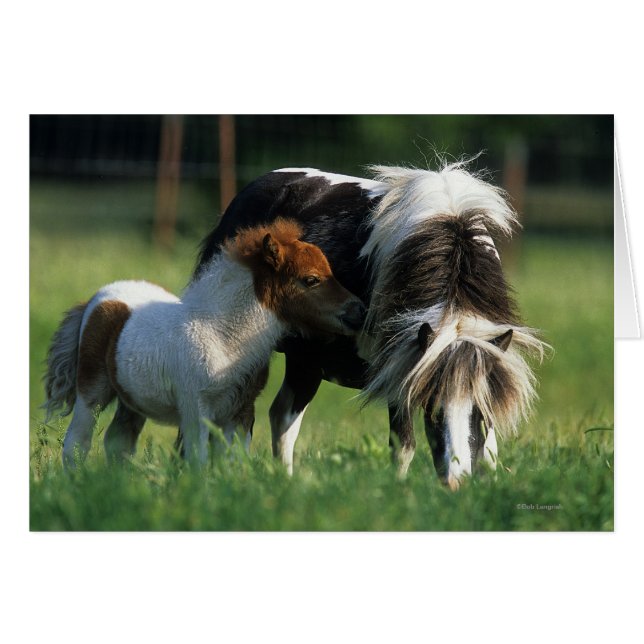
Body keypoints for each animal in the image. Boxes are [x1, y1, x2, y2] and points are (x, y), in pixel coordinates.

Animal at [44, 218, 366, 468]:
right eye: (311, 279)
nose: (359, 311)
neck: (223, 337)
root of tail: (96, 299)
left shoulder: (240, 412)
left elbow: (231, 461)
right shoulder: (196, 412)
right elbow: (197, 461)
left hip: (132, 398)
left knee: (118, 442)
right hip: (92, 390)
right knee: (77, 443)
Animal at [195, 162, 545, 488]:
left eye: (478, 412)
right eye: (432, 408)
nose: (454, 482)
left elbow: (489, 451)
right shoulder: (399, 371)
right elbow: (403, 446)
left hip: (305, 362)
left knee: (281, 418)